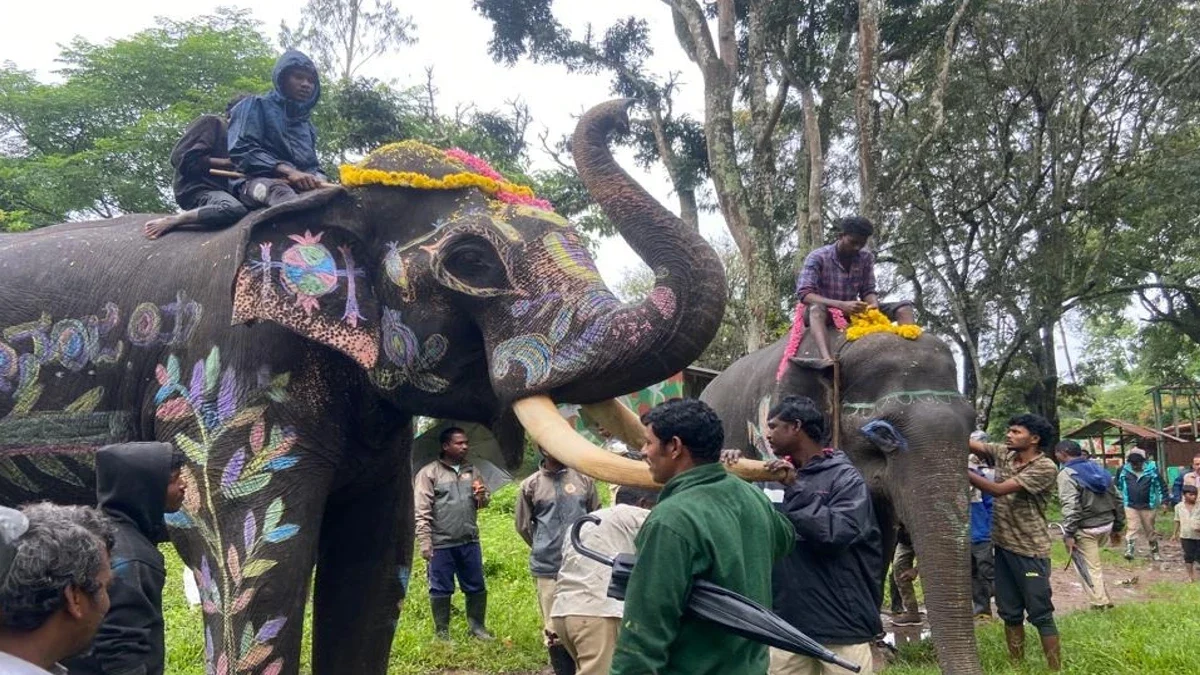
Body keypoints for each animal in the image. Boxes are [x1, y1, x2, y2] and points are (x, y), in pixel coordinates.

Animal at [0, 99, 777, 672]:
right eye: (473, 262)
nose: (622, 108)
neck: (333, 204)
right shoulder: (218, 376)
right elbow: (250, 560)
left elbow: (380, 557)